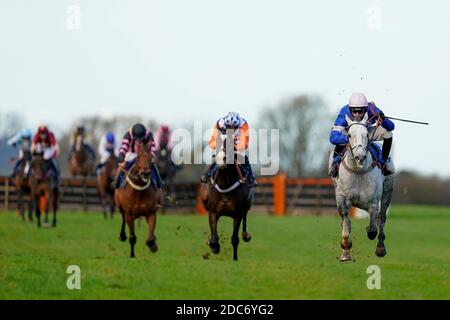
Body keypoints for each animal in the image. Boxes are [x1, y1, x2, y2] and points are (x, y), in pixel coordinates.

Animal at [200, 131, 255, 262]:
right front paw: (214, 246)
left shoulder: (237, 213)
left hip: (248, 202)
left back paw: (246, 235)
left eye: (230, 142)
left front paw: (235, 259)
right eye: (217, 141)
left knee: (246, 214)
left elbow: (235, 238)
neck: (225, 183)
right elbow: (214, 238)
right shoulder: (213, 211)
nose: (221, 159)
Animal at [328, 114, 396, 262]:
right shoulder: (342, 200)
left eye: (366, 134)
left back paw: (380, 248)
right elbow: (346, 224)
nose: (360, 156)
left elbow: (373, 229)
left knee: (382, 218)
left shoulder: (373, 203)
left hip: (387, 192)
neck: (357, 171)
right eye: (349, 135)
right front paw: (345, 248)